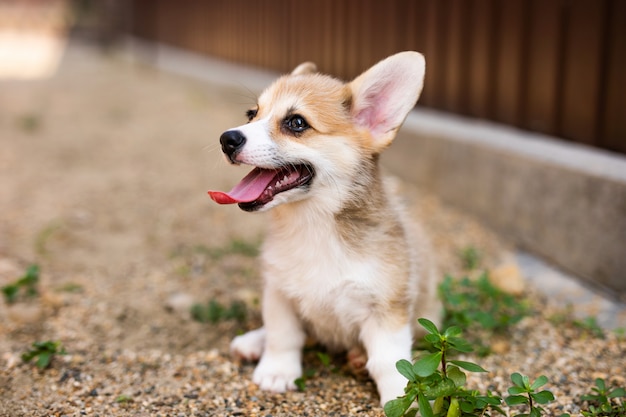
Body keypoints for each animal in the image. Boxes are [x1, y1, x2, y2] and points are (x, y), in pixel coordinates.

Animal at [207, 52, 436, 406]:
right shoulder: (279, 292)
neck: (313, 225)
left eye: (296, 123)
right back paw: (253, 342)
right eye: (252, 114)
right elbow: (283, 335)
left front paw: (403, 396)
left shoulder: (387, 309)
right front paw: (277, 371)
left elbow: (388, 361)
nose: (227, 139)